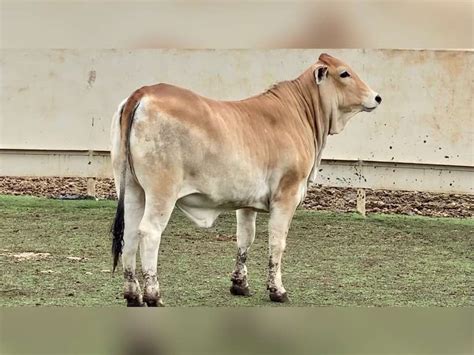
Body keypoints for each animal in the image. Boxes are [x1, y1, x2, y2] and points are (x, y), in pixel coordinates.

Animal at [109, 52, 380, 306]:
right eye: (344, 73)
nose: (377, 97)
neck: (300, 114)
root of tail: (143, 93)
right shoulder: (286, 195)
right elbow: (277, 242)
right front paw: (277, 290)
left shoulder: (246, 202)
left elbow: (245, 238)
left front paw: (240, 284)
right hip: (161, 192)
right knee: (149, 233)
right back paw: (153, 295)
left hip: (131, 189)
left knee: (129, 234)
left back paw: (132, 294)